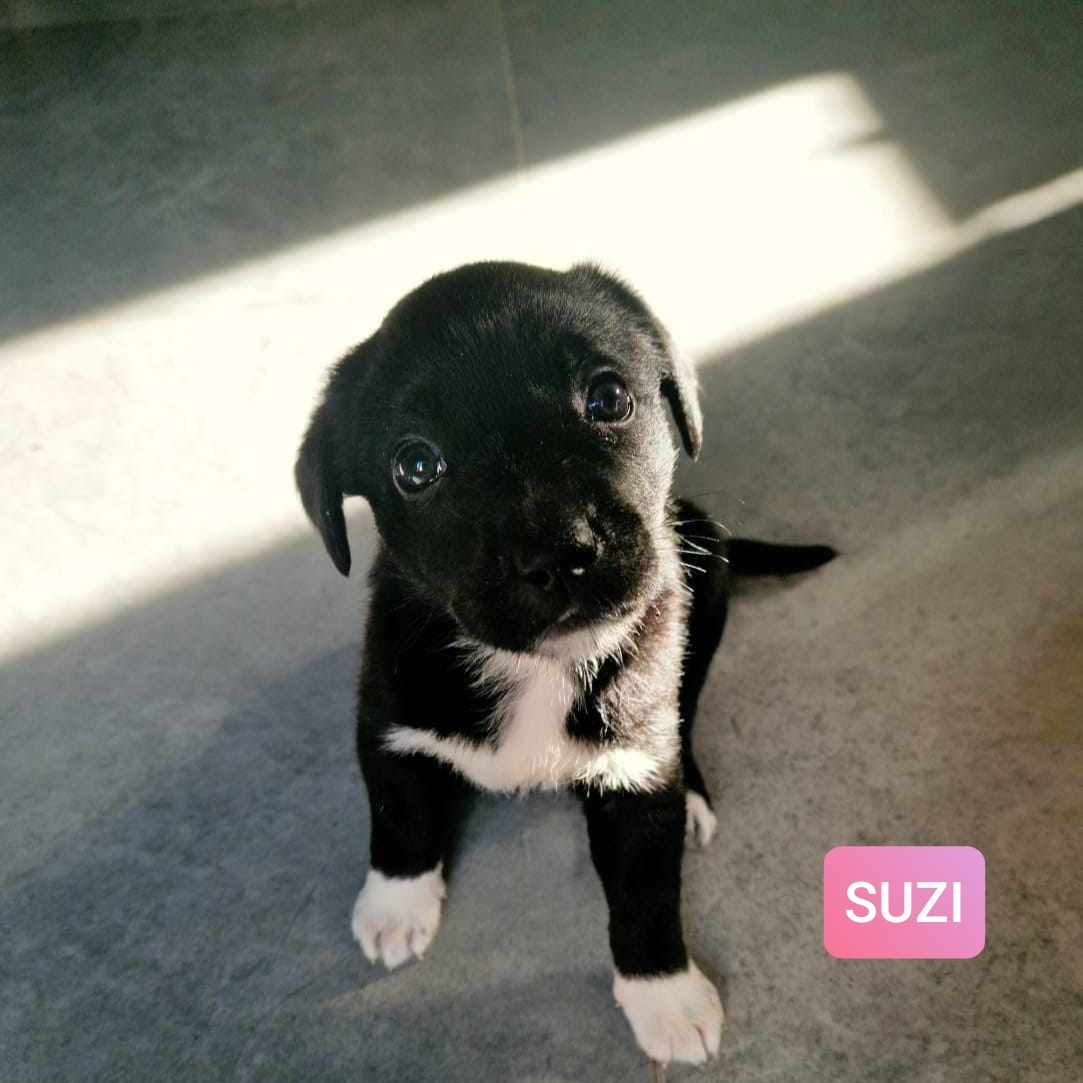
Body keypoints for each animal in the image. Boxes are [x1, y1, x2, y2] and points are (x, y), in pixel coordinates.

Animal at [295, 261, 835, 1065]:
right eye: (415, 466)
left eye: (608, 398)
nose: (560, 553)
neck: (535, 667)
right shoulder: (387, 714)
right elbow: (399, 814)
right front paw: (396, 901)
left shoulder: (638, 775)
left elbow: (645, 895)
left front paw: (664, 995)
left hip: (705, 576)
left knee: (687, 708)